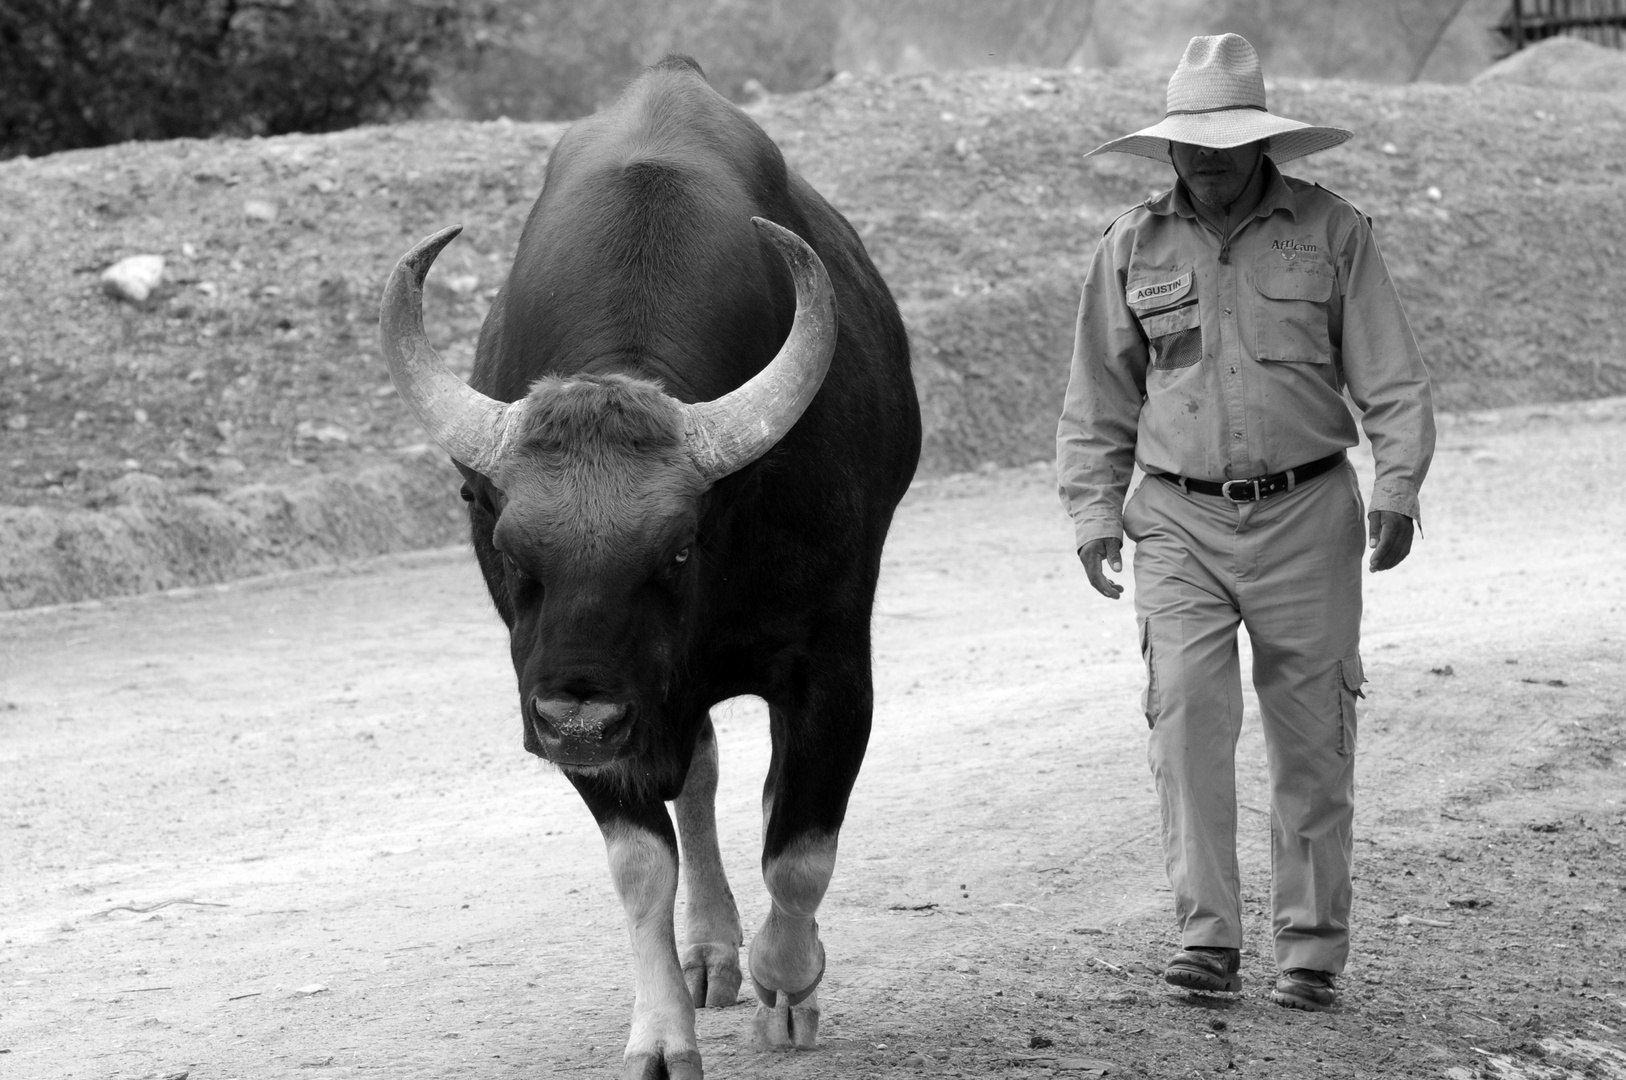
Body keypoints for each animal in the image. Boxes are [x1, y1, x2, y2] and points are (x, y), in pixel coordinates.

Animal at [373, 54, 923, 1073]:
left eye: (675, 547)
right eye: (510, 548)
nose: (578, 720)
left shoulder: (832, 664)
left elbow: (799, 847)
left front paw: (789, 981)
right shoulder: (570, 693)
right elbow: (641, 864)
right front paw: (662, 1033)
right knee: (698, 770)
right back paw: (709, 950)